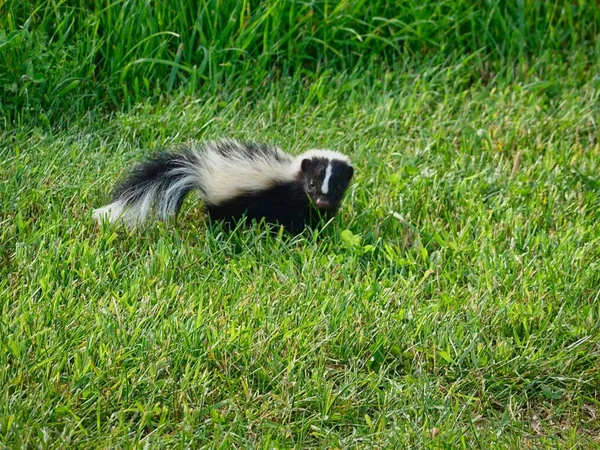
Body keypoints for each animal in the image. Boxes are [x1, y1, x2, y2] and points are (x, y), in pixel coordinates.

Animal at [94, 139, 354, 234]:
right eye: (311, 184)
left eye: (338, 187)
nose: (321, 201)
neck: (293, 175)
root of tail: (198, 169)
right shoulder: (286, 199)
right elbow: (294, 221)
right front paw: (304, 234)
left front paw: (322, 226)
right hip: (222, 202)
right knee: (218, 217)